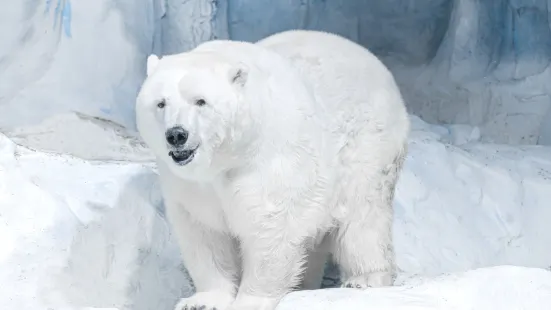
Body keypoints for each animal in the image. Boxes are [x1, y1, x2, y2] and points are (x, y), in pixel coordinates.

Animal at [134, 29, 410, 310]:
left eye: (201, 101)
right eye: (160, 103)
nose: (176, 135)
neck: (229, 157)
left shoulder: (268, 163)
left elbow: (270, 227)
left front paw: (249, 301)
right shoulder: (190, 185)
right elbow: (204, 233)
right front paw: (202, 301)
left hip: (367, 147)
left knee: (362, 217)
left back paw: (364, 279)